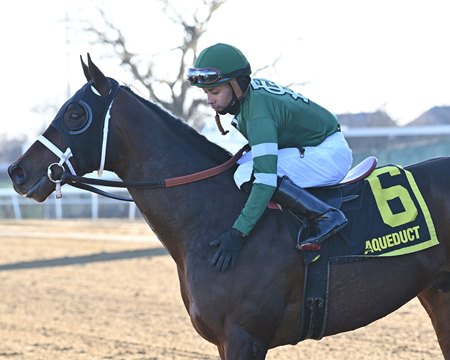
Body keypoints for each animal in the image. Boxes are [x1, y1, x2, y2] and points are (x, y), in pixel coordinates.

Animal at [7, 54, 450, 358]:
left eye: (75, 113)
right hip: (438, 296)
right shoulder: (226, 341)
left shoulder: (244, 337)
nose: (17, 171)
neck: (213, 219)